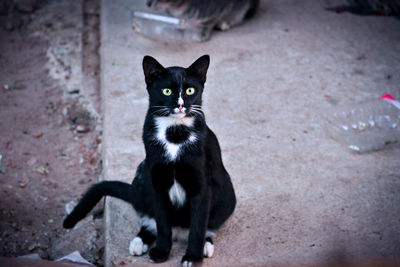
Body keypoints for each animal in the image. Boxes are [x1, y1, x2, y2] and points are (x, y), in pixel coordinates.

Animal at [63, 55, 236, 266]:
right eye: (166, 91)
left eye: (190, 90)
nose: (180, 105)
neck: (174, 133)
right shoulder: (156, 180)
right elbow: (162, 222)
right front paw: (161, 251)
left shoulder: (200, 185)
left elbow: (198, 226)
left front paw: (192, 257)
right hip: (141, 174)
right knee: (150, 219)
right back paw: (139, 242)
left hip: (226, 193)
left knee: (208, 225)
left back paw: (205, 245)